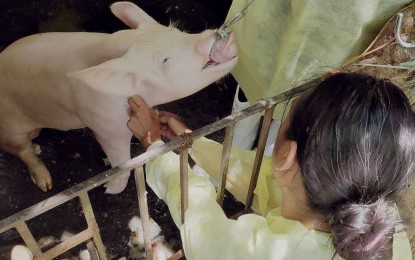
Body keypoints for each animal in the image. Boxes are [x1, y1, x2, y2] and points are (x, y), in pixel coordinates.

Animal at [0, 1, 237, 193]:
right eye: (165, 60)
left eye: (177, 31)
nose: (215, 35)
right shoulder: (106, 127)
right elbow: (123, 164)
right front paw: (108, 189)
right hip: (11, 126)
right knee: (23, 150)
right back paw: (46, 185)